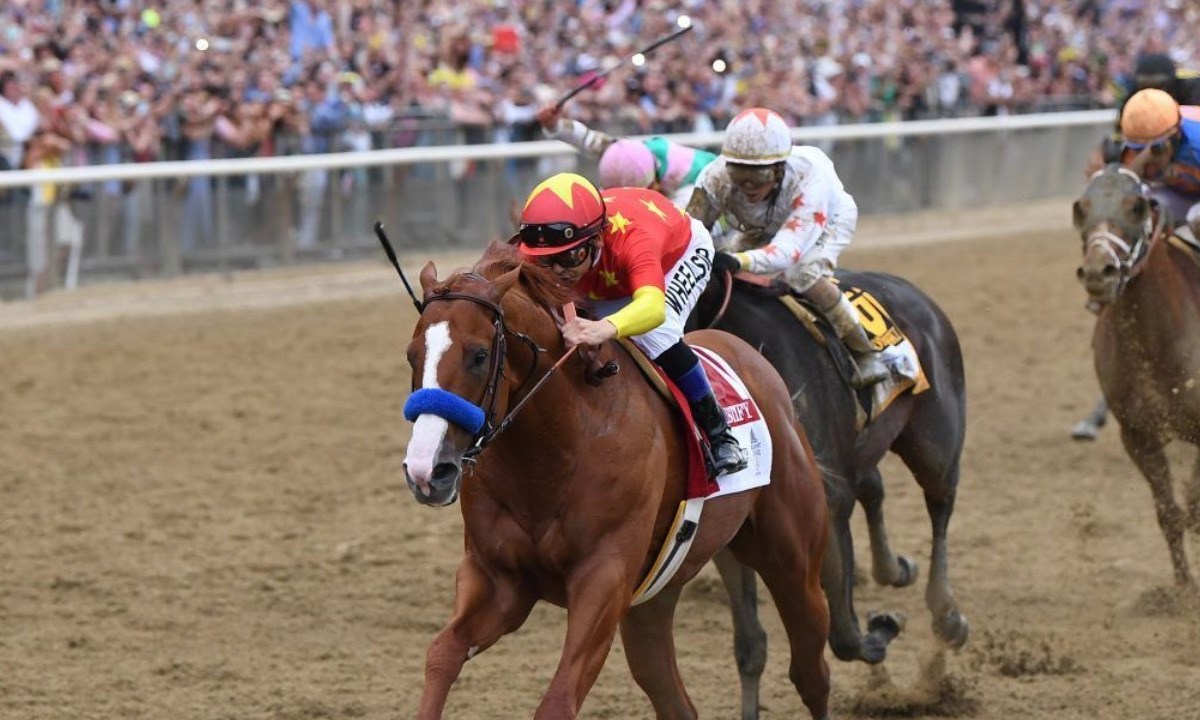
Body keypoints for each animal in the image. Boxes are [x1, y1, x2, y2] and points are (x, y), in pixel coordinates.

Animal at [398, 244, 830, 715]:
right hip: (653, 598)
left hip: (792, 558)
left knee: (811, 671)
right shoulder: (500, 581)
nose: (426, 470)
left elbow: (558, 701)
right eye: (411, 355)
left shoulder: (604, 577)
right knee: (674, 699)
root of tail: (754, 359)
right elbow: (442, 653)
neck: (557, 447)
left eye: (478, 356)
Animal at [1080, 165, 1200, 592]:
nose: (1098, 271)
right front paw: (1182, 591)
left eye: (1136, 206)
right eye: (1080, 208)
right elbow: (1169, 514)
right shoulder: (1137, 436)